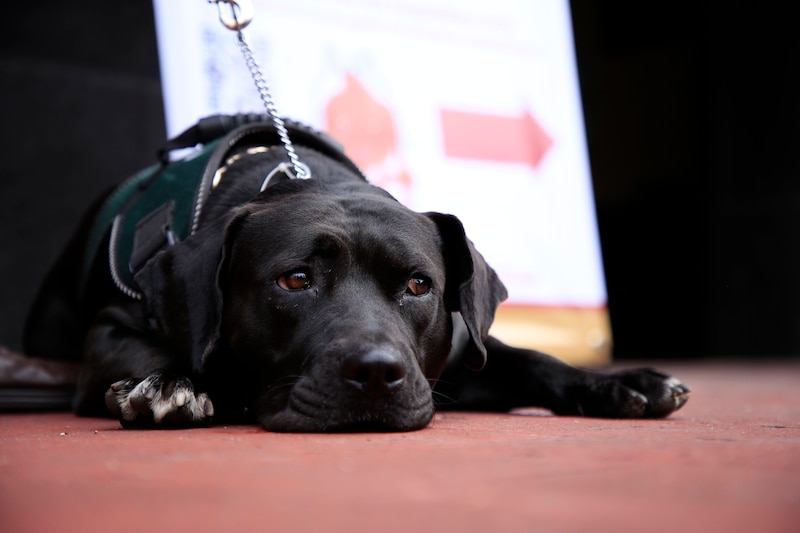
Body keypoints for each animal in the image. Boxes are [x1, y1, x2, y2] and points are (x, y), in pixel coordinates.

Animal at [25, 115, 688, 428]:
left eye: (419, 285)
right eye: (295, 280)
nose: (375, 373)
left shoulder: (458, 355)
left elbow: (530, 359)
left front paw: (618, 382)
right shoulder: (109, 330)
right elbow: (154, 351)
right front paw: (172, 383)